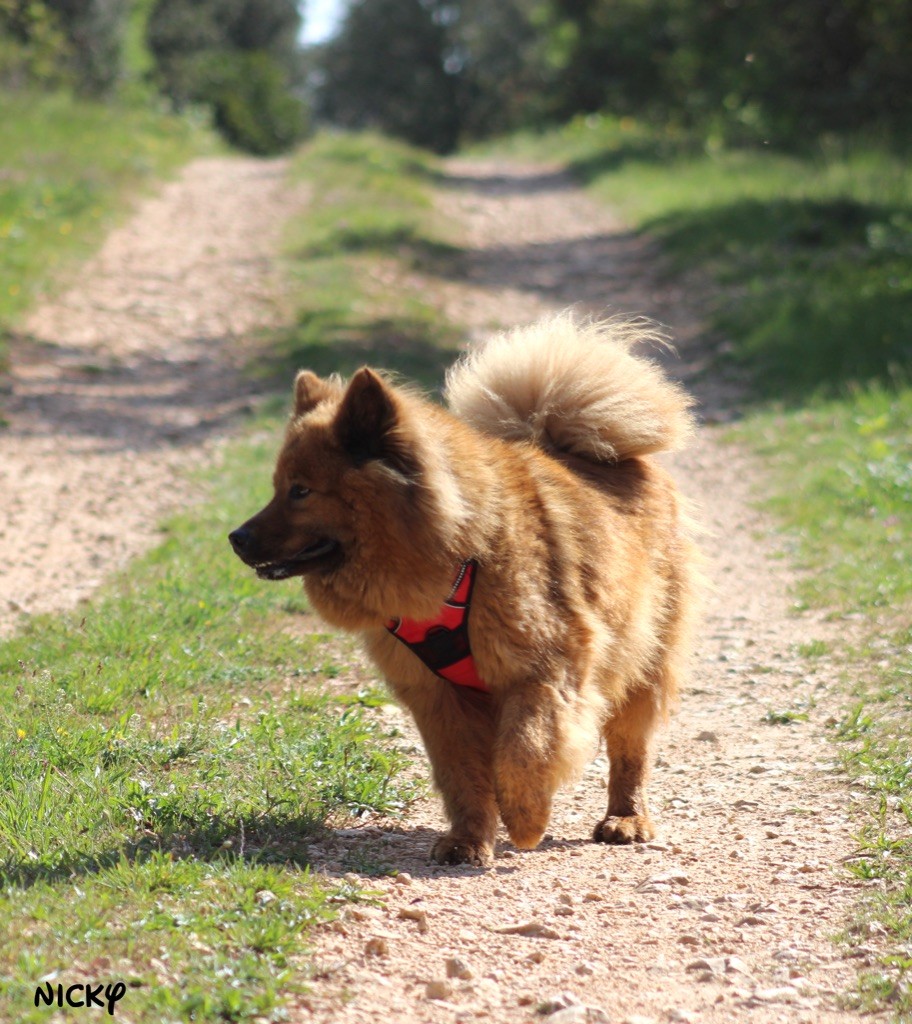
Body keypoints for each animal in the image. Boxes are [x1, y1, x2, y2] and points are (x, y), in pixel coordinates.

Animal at [228, 311, 700, 864]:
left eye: (301, 491)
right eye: (277, 488)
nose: (236, 538)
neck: (457, 555)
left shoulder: (543, 670)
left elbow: (526, 749)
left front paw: (525, 819)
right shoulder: (437, 696)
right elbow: (462, 775)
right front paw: (469, 840)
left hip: (644, 657)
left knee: (631, 749)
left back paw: (626, 819)